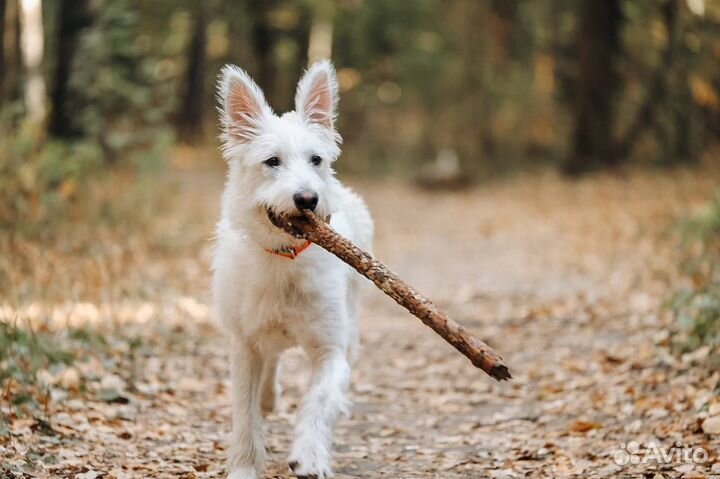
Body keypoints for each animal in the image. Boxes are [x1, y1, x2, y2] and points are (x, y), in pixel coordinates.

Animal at [212, 61, 372, 479]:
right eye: (272, 162)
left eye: (316, 159)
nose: (308, 199)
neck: (284, 260)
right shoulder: (243, 346)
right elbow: (245, 414)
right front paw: (244, 467)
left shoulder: (330, 349)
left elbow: (319, 399)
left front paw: (310, 456)